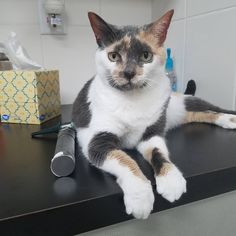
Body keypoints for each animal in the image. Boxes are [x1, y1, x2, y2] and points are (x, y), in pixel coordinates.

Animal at [71, 9, 236, 219]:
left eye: (146, 55)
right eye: (114, 56)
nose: (128, 73)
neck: (132, 100)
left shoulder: (151, 134)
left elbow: (159, 153)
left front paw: (171, 180)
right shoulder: (97, 142)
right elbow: (125, 160)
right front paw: (140, 196)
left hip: (184, 101)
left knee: (212, 108)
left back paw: (230, 118)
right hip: (182, 112)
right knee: (201, 114)